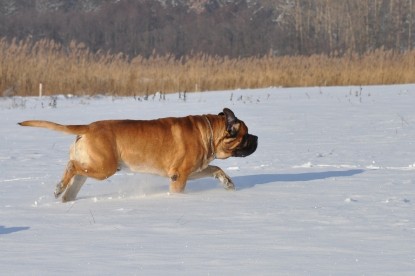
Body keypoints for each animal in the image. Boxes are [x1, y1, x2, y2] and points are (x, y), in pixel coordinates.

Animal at [20, 108, 260, 203]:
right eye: (246, 134)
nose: (257, 138)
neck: (209, 133)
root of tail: (88, 127)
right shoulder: (180, 175)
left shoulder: (193, 170)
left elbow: (216, 169)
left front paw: (228, 183)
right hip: (105, 168)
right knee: (72, 166)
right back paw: (58, 187)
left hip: (90, 170)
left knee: (73, 179)